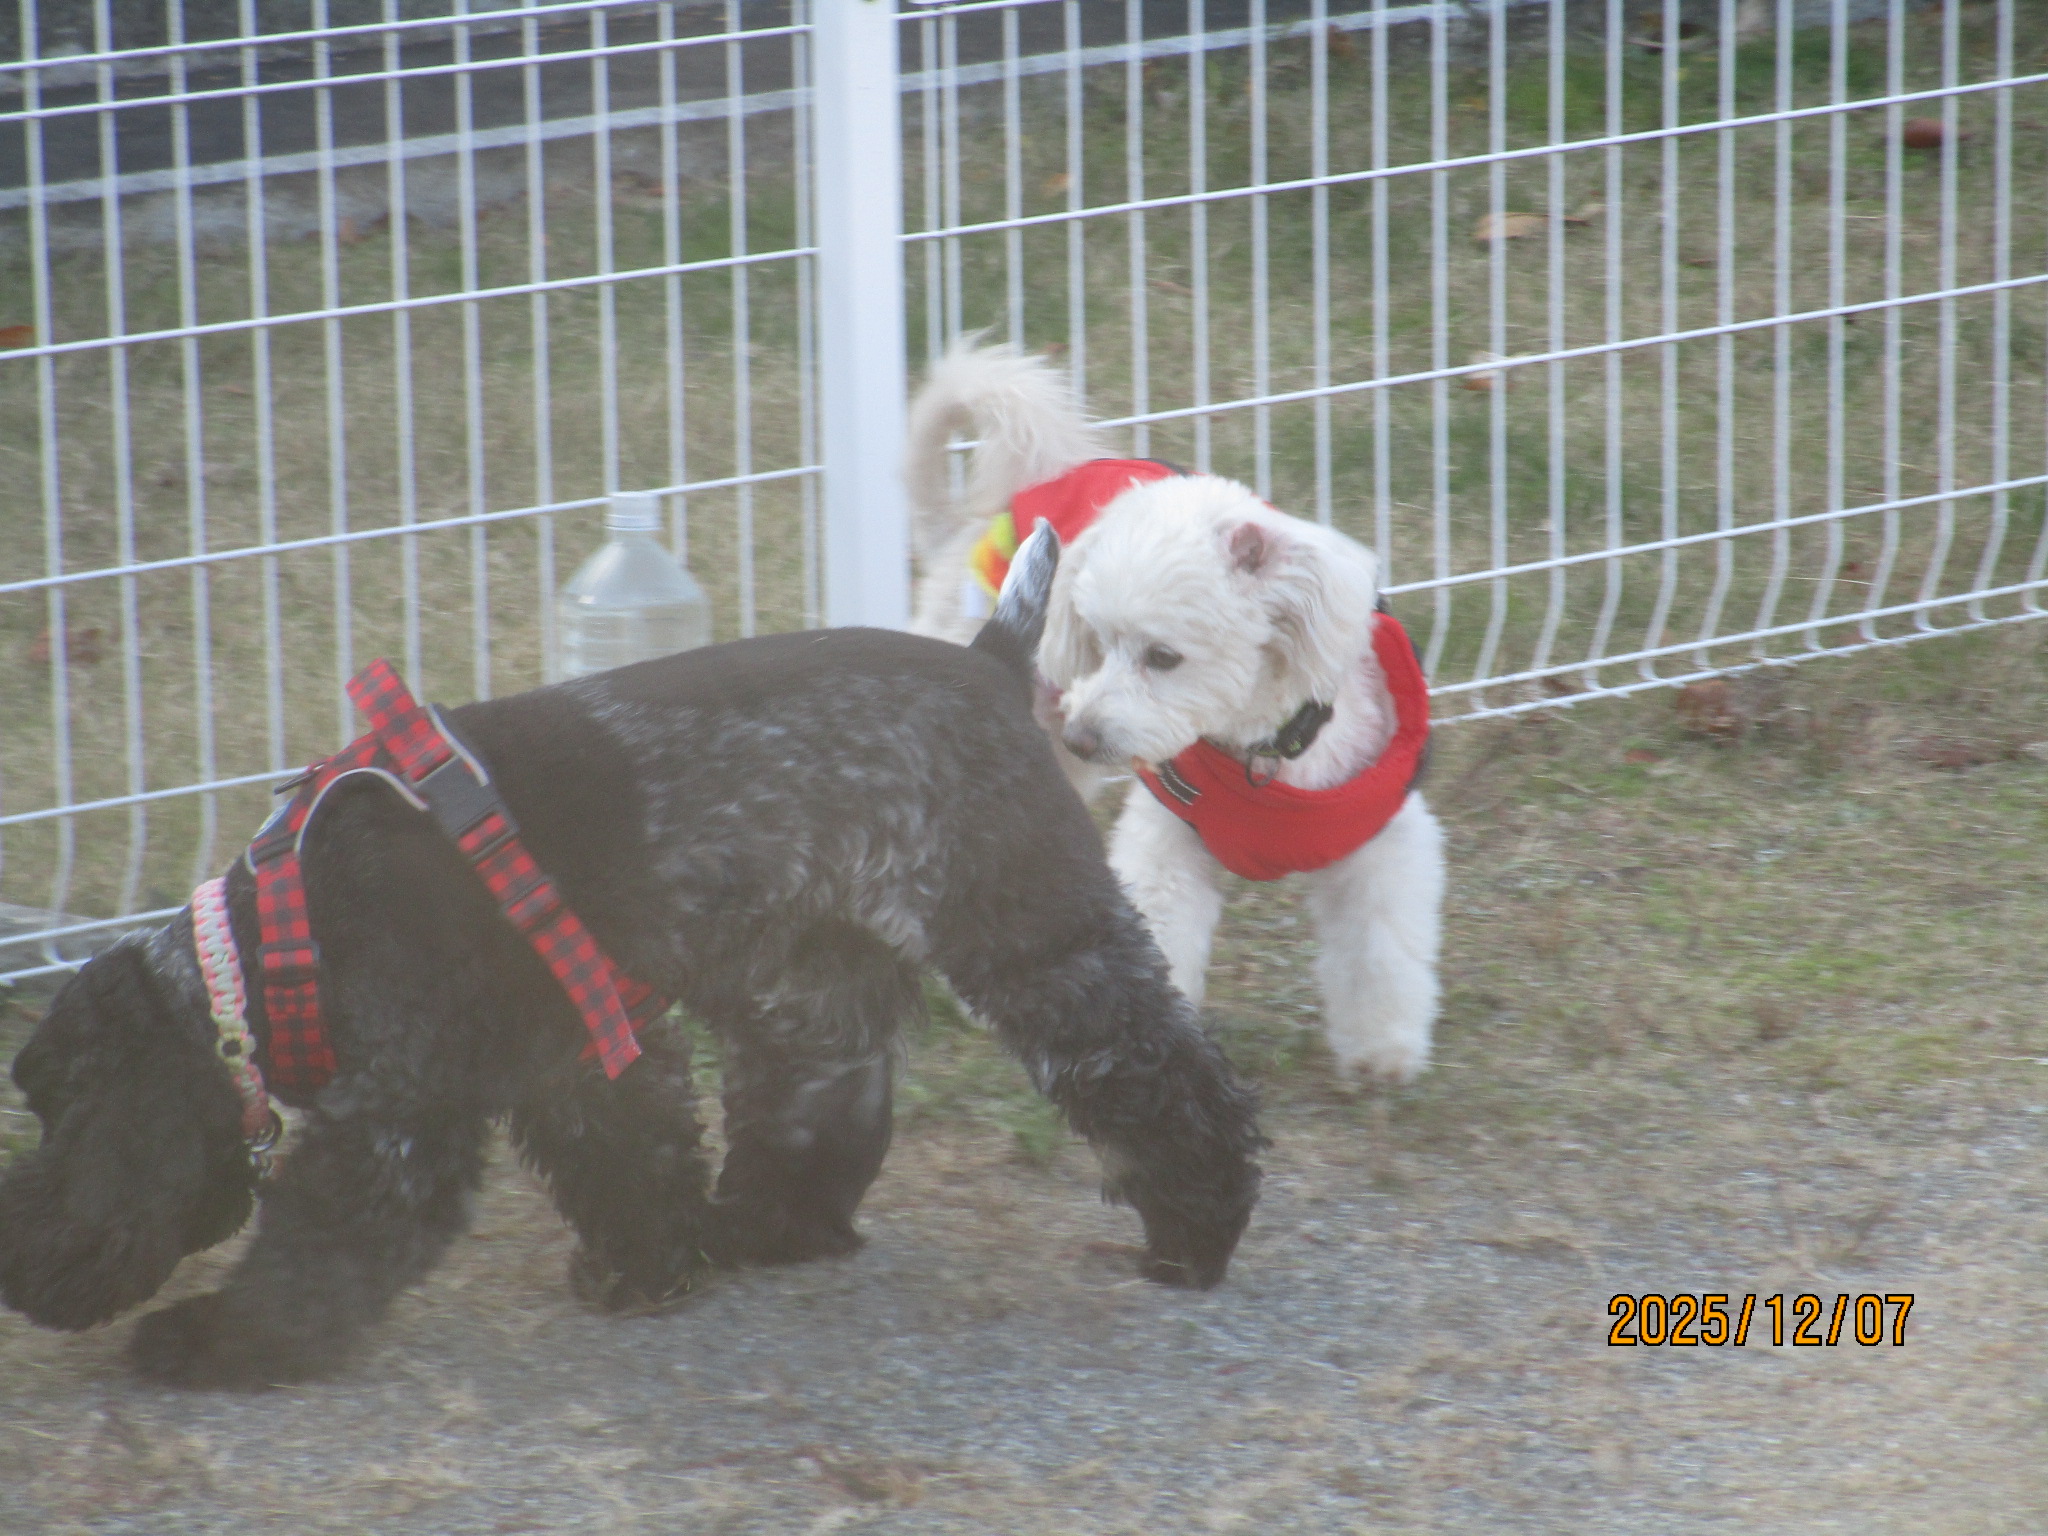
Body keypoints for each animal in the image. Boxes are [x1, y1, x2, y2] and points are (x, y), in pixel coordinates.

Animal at [0, 539, 1262, 1388]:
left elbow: (317, 1250)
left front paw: (216, 1342)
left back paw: (1195, 1238)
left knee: (1169, 1084)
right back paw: (765, 1231)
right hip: (809, 983)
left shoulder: (397, 1124)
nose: (24, 1264)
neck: (284, 940)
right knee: (819, 1114)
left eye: (63, 1123)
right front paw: (652, 1272)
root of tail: (994, 660)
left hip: (1035, 946)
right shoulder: (578, 1052)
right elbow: (632, 1159)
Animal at [905, 341, 1445, 1083]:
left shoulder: (1383, 845)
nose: (1083, 737)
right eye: (1098, 642)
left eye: (1163, 657)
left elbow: (1381, 950)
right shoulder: (1166, 841)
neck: (1263, 755)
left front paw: (1381, 1051)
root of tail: (959, 533)